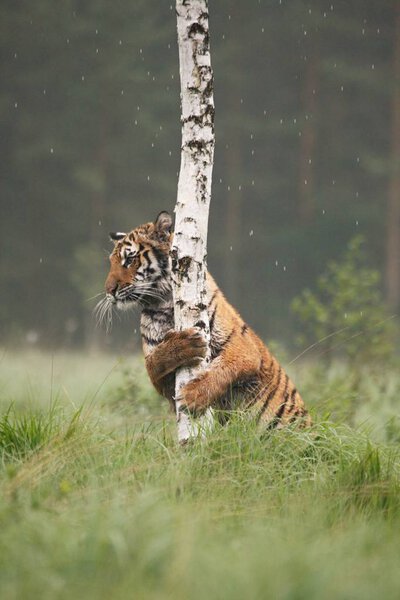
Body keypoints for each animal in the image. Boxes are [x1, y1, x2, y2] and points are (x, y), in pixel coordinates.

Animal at [98, 213, 310, 428]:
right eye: (111, 262)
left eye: (129, 259)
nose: (109, 291)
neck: (162, 305)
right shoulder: (159, 375)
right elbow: (154, 363)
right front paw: (184, 345)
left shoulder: (244, 349)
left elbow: (225, 367)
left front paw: (193, 395)